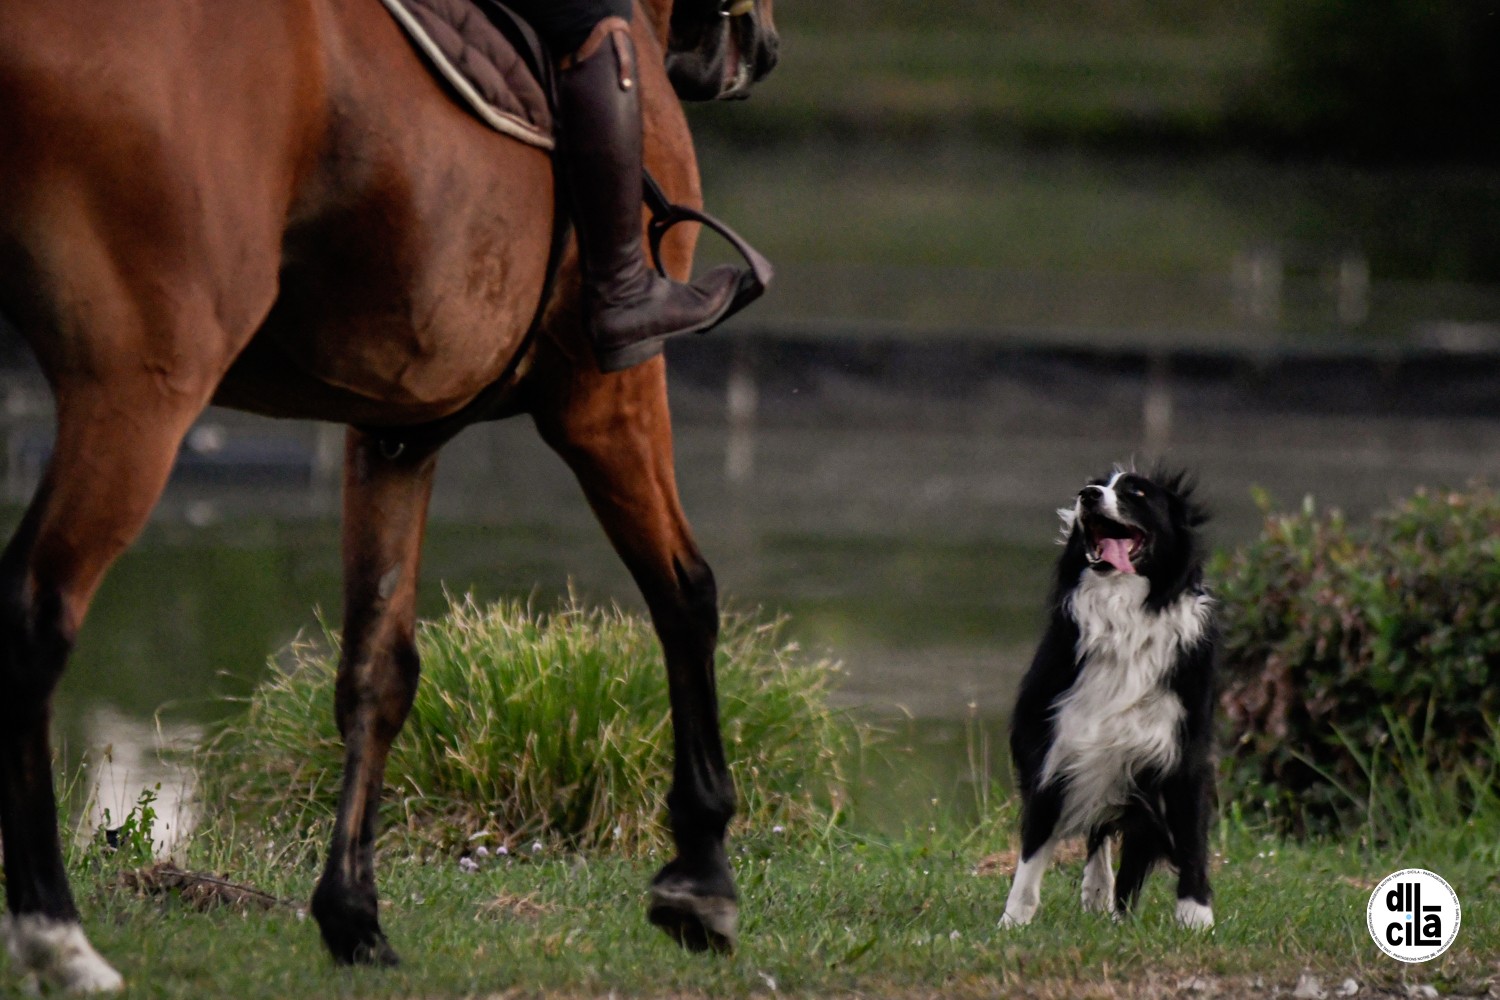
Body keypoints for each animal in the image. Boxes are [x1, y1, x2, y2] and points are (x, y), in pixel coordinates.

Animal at [0, 0, 774, 989]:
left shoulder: (397, 432)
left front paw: (353, 917)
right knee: (34, 616)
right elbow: (686, 595)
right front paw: (702, 876)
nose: (757, 48)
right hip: (142, 386)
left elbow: (378, 669)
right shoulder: (609, 395)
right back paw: (55, 934)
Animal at [996, 470, 1218, 929]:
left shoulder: (1180, 753)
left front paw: (1196, 920)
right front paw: (1012, 922)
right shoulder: (1055, 747)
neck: (1123, 612)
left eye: (1136, 492)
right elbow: (1033, 848)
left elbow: (1190, 841)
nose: (1088, 496)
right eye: (1094, 484)